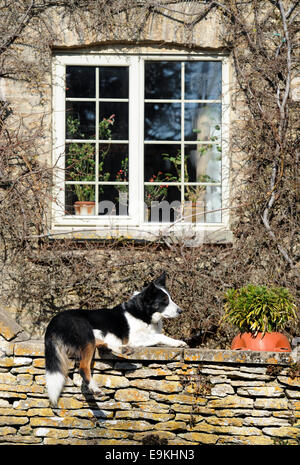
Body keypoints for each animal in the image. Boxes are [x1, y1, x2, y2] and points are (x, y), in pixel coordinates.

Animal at [44, 270, 186, 404]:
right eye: (164, 301)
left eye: (170, 299)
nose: (181, 311)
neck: (142, 312)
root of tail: (52, 323)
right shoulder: (132, 339)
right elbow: (160, 336)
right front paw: (177, 342)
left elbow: (158, 335)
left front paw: (177, 342)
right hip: (85, 331)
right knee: (83, 367)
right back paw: (95, 388)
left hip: (94, 334)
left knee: (101, 344)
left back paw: (122, 349)